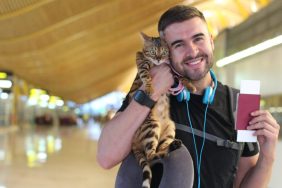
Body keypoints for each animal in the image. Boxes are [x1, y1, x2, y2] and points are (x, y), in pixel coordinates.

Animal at [129, 33, 193, 187]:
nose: (158, 59)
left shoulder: (171, 69)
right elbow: (146, 75)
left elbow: (180, 76)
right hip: (151, 126)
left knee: (160, 148)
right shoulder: (141, 60)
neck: (157, 64)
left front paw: (190, 85)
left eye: (163, 52)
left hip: (170, 127)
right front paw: (149, 88)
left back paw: (173, 145)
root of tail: (133, 142)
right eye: (153, 52)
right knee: (151, 155)